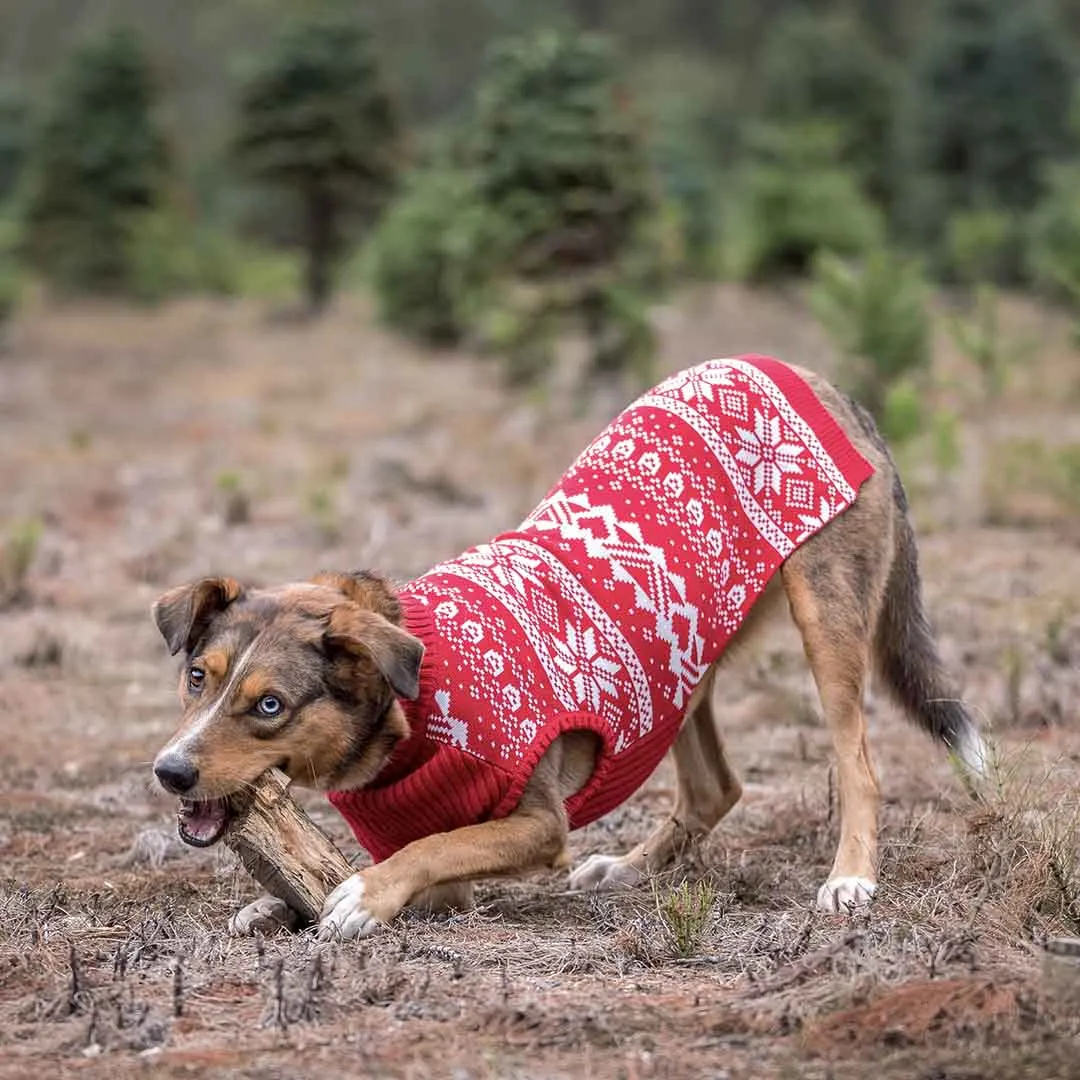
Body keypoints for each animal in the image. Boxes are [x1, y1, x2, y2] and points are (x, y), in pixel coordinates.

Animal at [152, 354, 989, 937]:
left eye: (270, 705)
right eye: (197, 676)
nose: (169, 771)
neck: (415, 705)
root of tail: (822, 382)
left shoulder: (534, 823)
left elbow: (428, 850)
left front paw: (360, 895)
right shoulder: (450, 879)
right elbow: (405, 861)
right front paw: (278, 907)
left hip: (826, 615)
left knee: (859, 763)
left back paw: (850, 877)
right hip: (679, 665)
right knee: (715, 788)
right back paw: (627, 869)